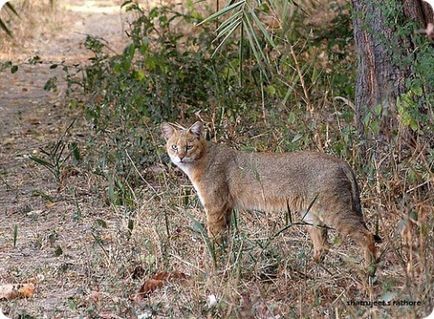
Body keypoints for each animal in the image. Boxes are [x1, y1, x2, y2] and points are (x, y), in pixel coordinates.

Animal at [161, 121, 378, 274]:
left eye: (189, 146)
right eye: (174, 147)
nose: (180, 157)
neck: (201, 160)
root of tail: (340, 161)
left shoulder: (215, 206)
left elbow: (214, 238)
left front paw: (213, 263)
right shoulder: (226, 208)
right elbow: (226, 238)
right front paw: (226, 260)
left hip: (333, 210)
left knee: (366, 235)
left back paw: (369, 270)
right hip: (311, 215)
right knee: (323, 245)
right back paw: (308, 267)